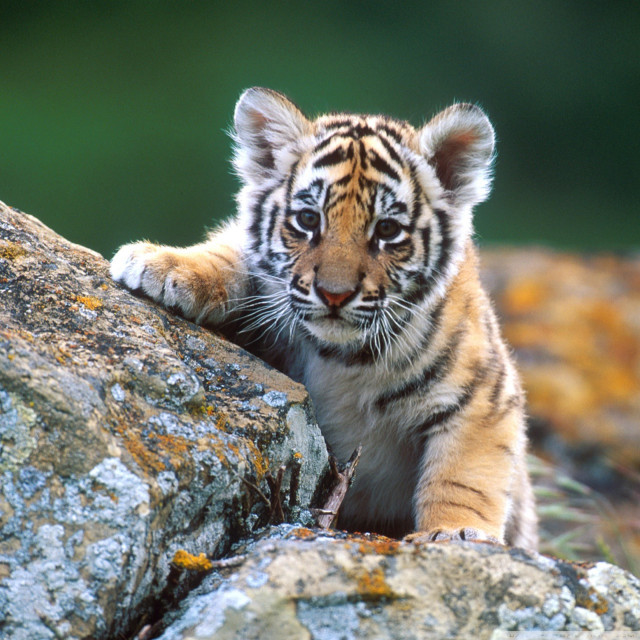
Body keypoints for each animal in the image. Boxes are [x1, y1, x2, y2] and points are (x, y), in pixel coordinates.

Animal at [110, 87, 538, 550]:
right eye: (308, 219)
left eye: (387, 230)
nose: (334, 294)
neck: (343, 358)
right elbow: (231, 252)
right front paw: (162, 264)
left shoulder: (484, 397)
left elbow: (463, 476)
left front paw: (456, 533)